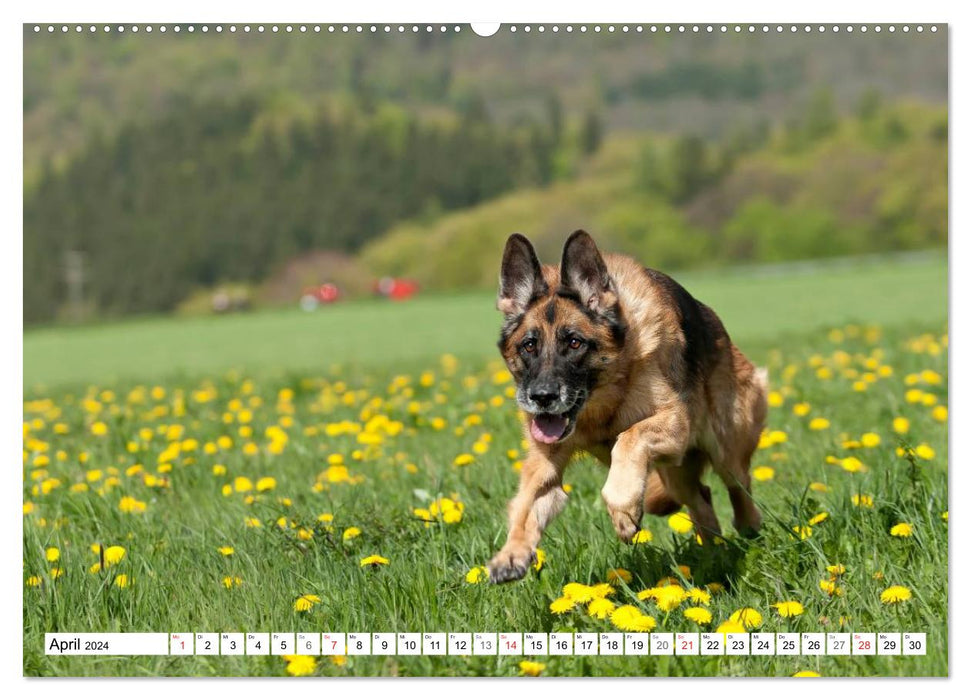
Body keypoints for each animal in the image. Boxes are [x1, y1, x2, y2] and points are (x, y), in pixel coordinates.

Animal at [490, 232, 772, 584]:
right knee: (702, 500)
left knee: (739, 489)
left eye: (575, 343)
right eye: (529, 346)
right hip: (675, 474)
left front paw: (623, 509)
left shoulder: (675, 423)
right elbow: (526, 501)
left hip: (724, 449)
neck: (601, 407)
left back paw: (748, 531)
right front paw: (511, 553)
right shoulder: (545, 464)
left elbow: (629, 437)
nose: (542, 397)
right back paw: (713, 556)